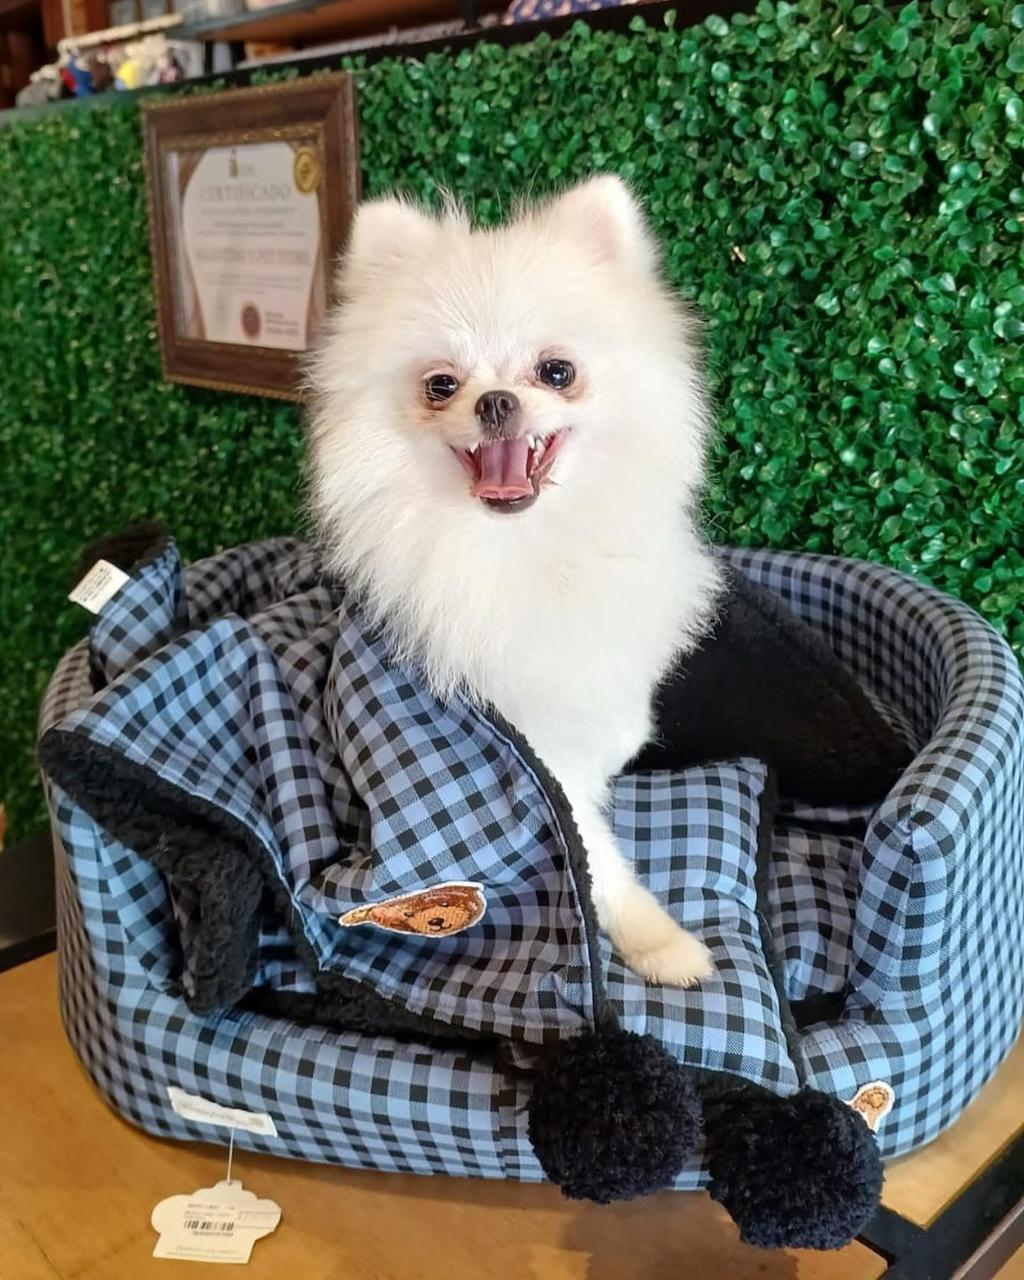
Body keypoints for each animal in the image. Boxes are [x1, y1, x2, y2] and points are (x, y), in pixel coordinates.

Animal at [308, 175, 721, 987]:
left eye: (556, 371)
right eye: (441, 385)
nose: (495, 400)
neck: (522, 549)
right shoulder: (529, 750)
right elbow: (588, 853)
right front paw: (655, 941)